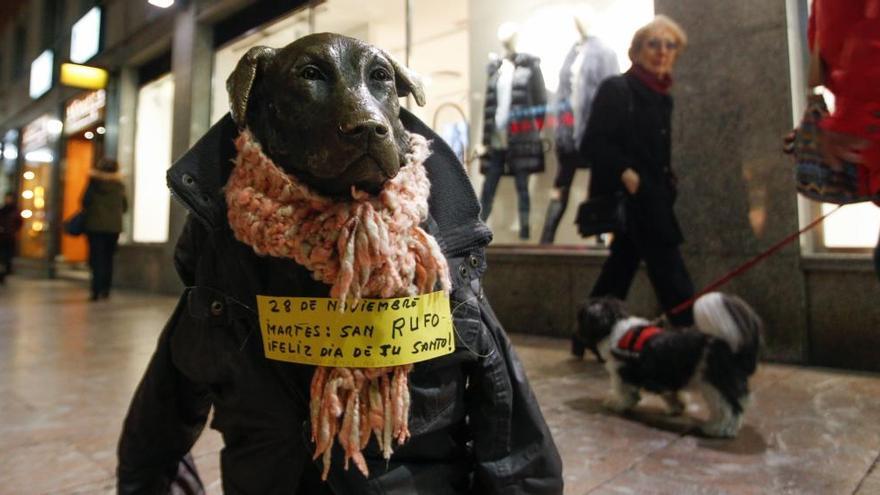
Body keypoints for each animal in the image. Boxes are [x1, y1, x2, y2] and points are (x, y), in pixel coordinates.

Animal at [576, 292, 764, 440]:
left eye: (581, 317)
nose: (576, 331)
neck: (615, 327)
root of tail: (727, 344)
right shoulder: (665, 375)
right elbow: (672, 394)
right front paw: (677, 406)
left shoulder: (622, 372)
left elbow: (624, 392)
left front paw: (616, 402)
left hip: (715, 385)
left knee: (731, 408)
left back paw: (720, 429)